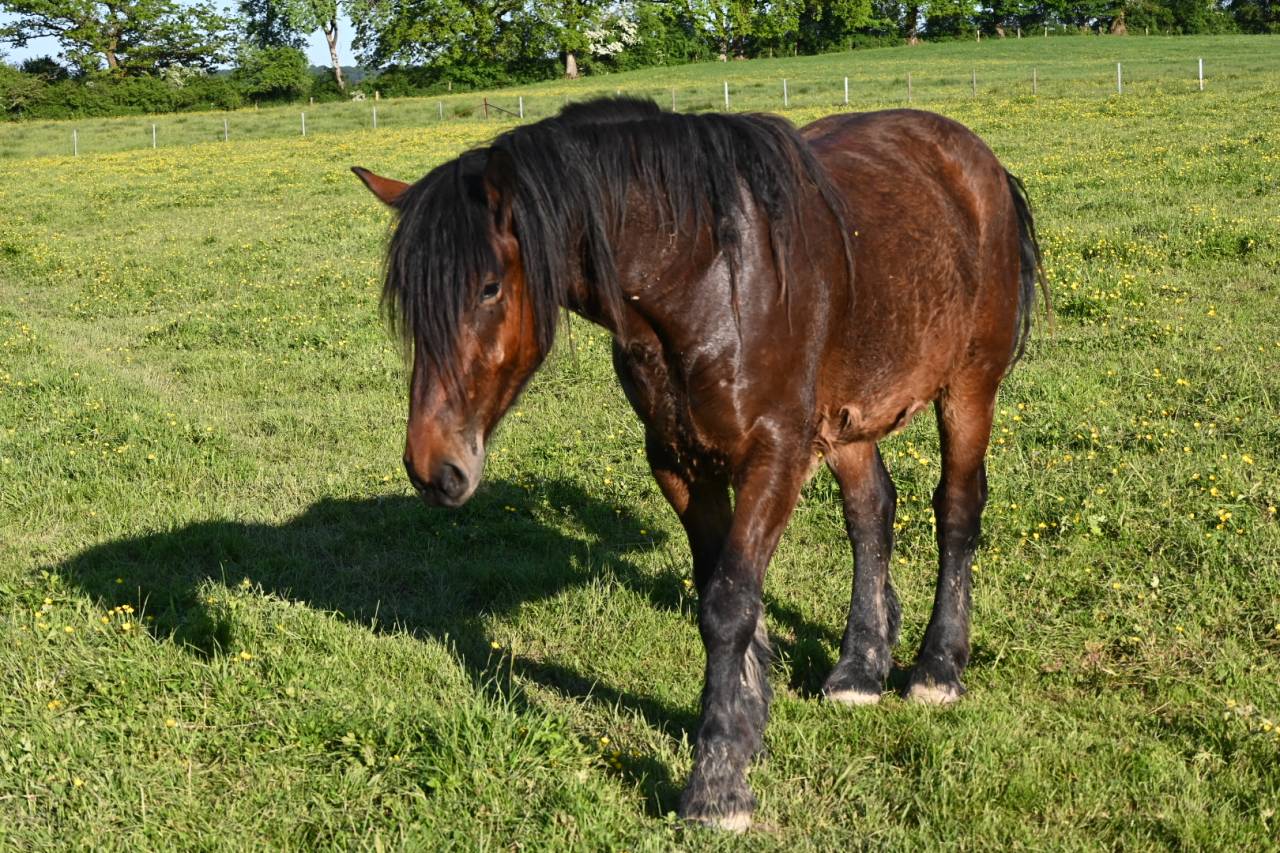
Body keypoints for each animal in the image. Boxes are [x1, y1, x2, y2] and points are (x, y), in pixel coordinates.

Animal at [352, 96, 1047, 831]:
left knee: (957, 510)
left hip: (969, 387)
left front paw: (717, 783)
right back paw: (860, 667)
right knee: (871, 514)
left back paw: (938, 667)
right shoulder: (681, 463)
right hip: (850, 415)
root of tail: (975, 160)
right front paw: (744, 727)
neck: (708, 278)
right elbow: (724, 592)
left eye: (488, 288)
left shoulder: (775, 456)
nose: (433, 467)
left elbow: (729, 603)